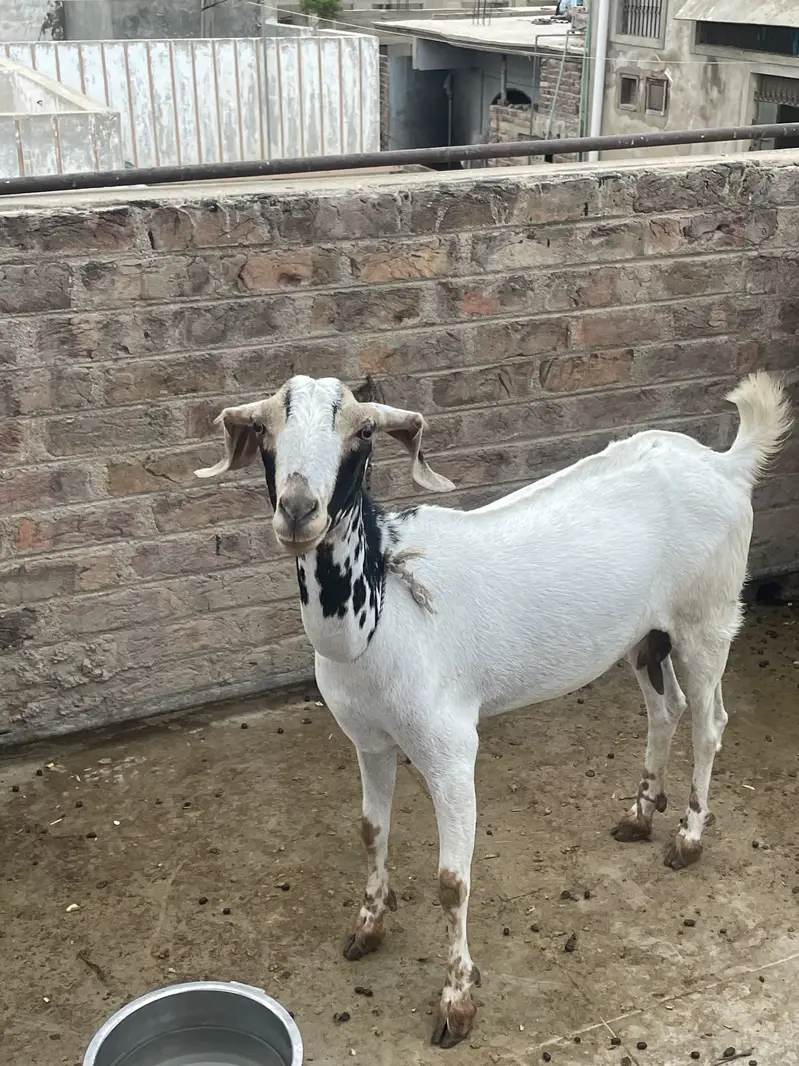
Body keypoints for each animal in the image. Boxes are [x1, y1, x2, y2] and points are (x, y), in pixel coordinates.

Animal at [197, 371, 792, 1048]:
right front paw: (367, 928)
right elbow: (371, 831)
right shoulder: (368, 738)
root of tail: (726, 465)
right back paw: (641, 813)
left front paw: (456, 1004)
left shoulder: (451, 748)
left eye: (363, 432)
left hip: (706, 618)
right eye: (262, 428)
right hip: (647, 633)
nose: (299, 510)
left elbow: (452, 882)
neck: (383, 605)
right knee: (665, 709)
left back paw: (688, 839)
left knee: (709, 722)